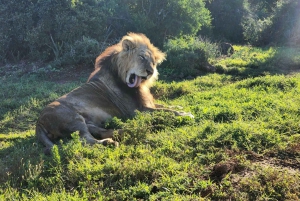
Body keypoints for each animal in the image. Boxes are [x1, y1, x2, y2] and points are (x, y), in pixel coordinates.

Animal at [35, 32, 195, 152]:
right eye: (142, 57)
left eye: (153, 62)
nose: (150, 72)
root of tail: (38, 121)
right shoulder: (137, 110)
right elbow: (166, 111)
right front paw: (185, 114)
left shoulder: (145, 104)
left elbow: (164, 106)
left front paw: (180, 107)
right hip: (73, 119)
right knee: (86, 140)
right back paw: (109, 142)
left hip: (87, 121)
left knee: (100, 131)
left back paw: (127, 131)